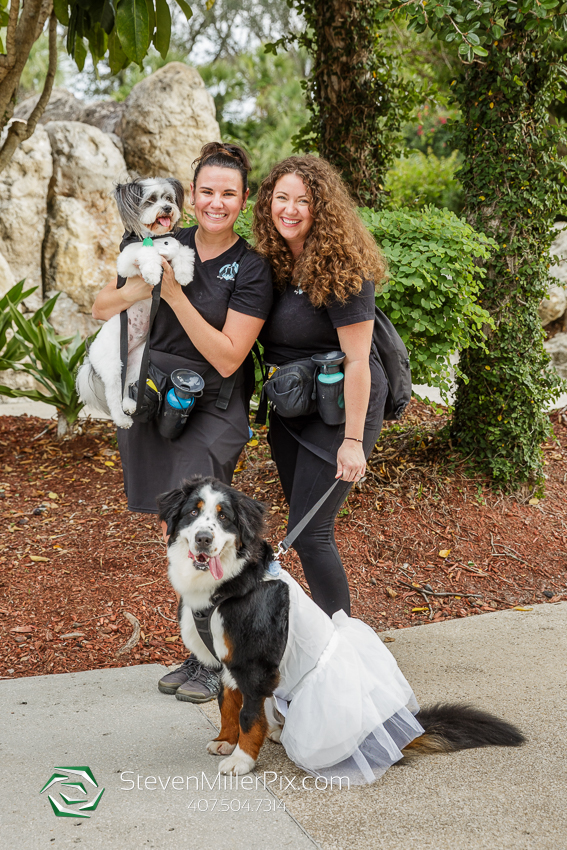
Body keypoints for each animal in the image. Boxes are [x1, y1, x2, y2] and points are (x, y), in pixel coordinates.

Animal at [77, 180, 195, 430]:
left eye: (169, 199)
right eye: (150, 200)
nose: (167, 209)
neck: (157, 238)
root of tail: (91, 357)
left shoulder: (176, 247)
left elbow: (183, 252)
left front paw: (183, 274)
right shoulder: (125, 262)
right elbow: (146, 252)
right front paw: (152, 273)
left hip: (137, 363)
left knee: (127, 386)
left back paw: (131, 404)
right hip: (113, 365)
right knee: (113, 395)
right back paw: (122, 419)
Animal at [156, 474, 528, 780]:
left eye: (224, 517)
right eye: (193, 513)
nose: (204, 539)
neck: (228, 586)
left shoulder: (253, 664)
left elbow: (249, 715)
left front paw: (242, 760)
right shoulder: (226, 662)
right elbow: (228, 705)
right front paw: (225, 740)